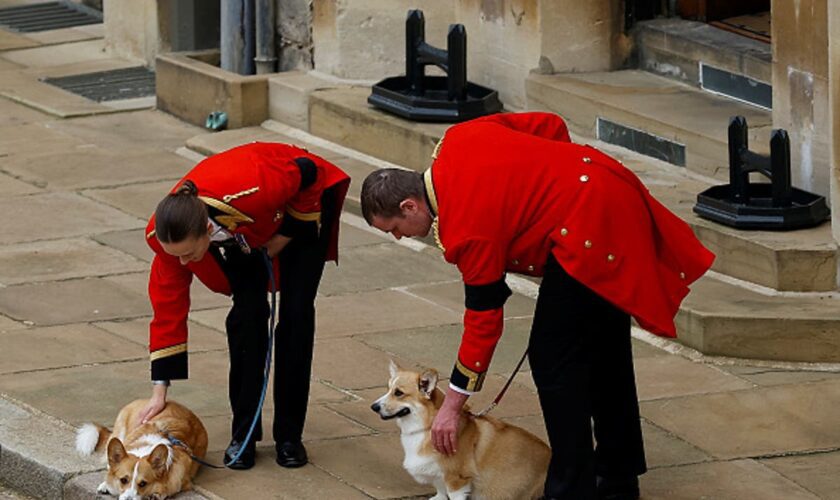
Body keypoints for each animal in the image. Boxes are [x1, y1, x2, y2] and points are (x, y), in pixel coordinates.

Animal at [372, 364, 552, 500]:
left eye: (399, 393)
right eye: (388, 389)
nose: (373, 406)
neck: (428, 427)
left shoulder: (457, 480)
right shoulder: (438, 475)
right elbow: (440, 490)